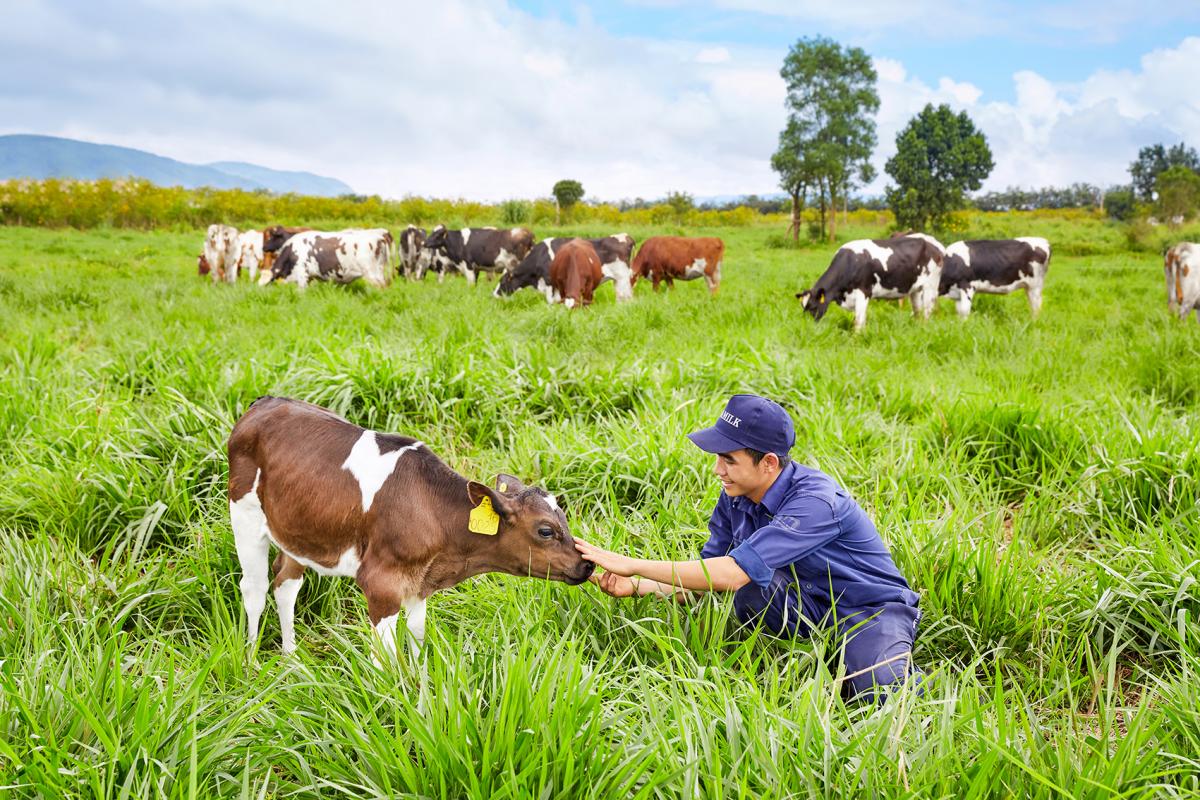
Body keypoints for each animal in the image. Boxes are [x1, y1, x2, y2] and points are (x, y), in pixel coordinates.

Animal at [226, 395, 592, 657]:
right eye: (546, 530)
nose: (587, 564)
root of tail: (265, 401)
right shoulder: (380, 584)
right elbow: (386, 659)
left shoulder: (419, 584)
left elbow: (417, 641)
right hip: (244, 514)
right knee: (254, 588)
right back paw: (251, 661)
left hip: (298, 527)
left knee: (286, 584)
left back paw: (290, 658)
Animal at [260, 227, 396, 291]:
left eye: (273, 237)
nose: (258, 294)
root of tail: (379, 236)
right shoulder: (310, 278)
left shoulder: (302, 276)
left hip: (372, 275)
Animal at [492, 236, 638, 304]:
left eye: (503, 282)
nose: (493, 295)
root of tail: (626, 237)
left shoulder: (549, 281)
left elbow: (551, 301)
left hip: (623, 279)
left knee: (626, 297)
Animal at [796, 236, 945, 331]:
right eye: (803, 308)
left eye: (813, 307)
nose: (809, 328)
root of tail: (934, 246)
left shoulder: (864, 293)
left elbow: (858, 322)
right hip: (915, 290)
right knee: (918, 311)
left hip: (930, 286)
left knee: (927, 311)